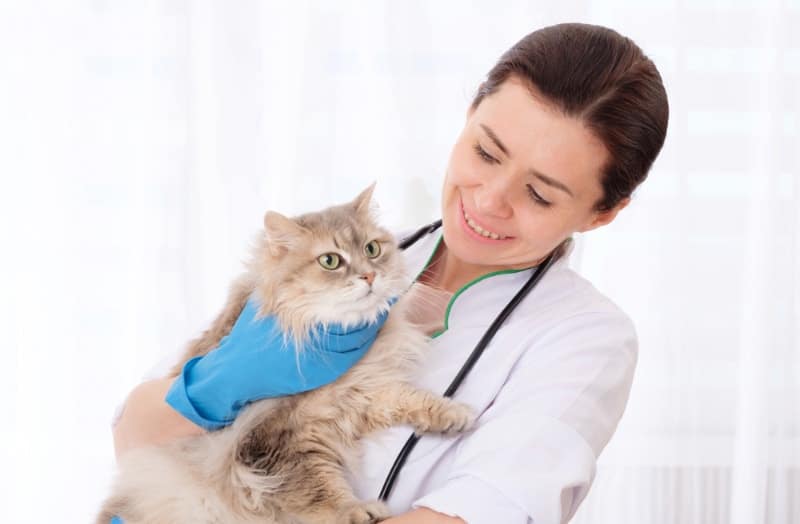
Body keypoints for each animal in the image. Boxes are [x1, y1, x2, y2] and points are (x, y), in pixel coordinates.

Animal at [97, 185, 478, 524]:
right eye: (330, 261)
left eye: (372, 249)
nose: (370, 275)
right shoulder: (274, 441)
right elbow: (319, 489)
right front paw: (356, 511)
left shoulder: (363, 392)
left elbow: (408, 398)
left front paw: (454, 413)